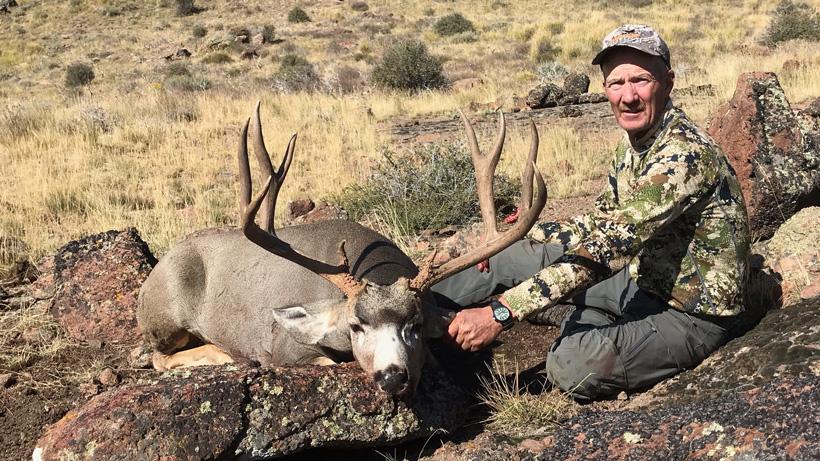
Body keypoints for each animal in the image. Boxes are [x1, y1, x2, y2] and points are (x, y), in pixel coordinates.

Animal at [136, 102, 546, 397]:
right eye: (355, 326)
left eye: (414, 325)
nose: (392, 378)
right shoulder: (284, 347)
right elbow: (325, 363)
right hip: (166, 316)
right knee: (156, 356)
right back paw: (222, 354)